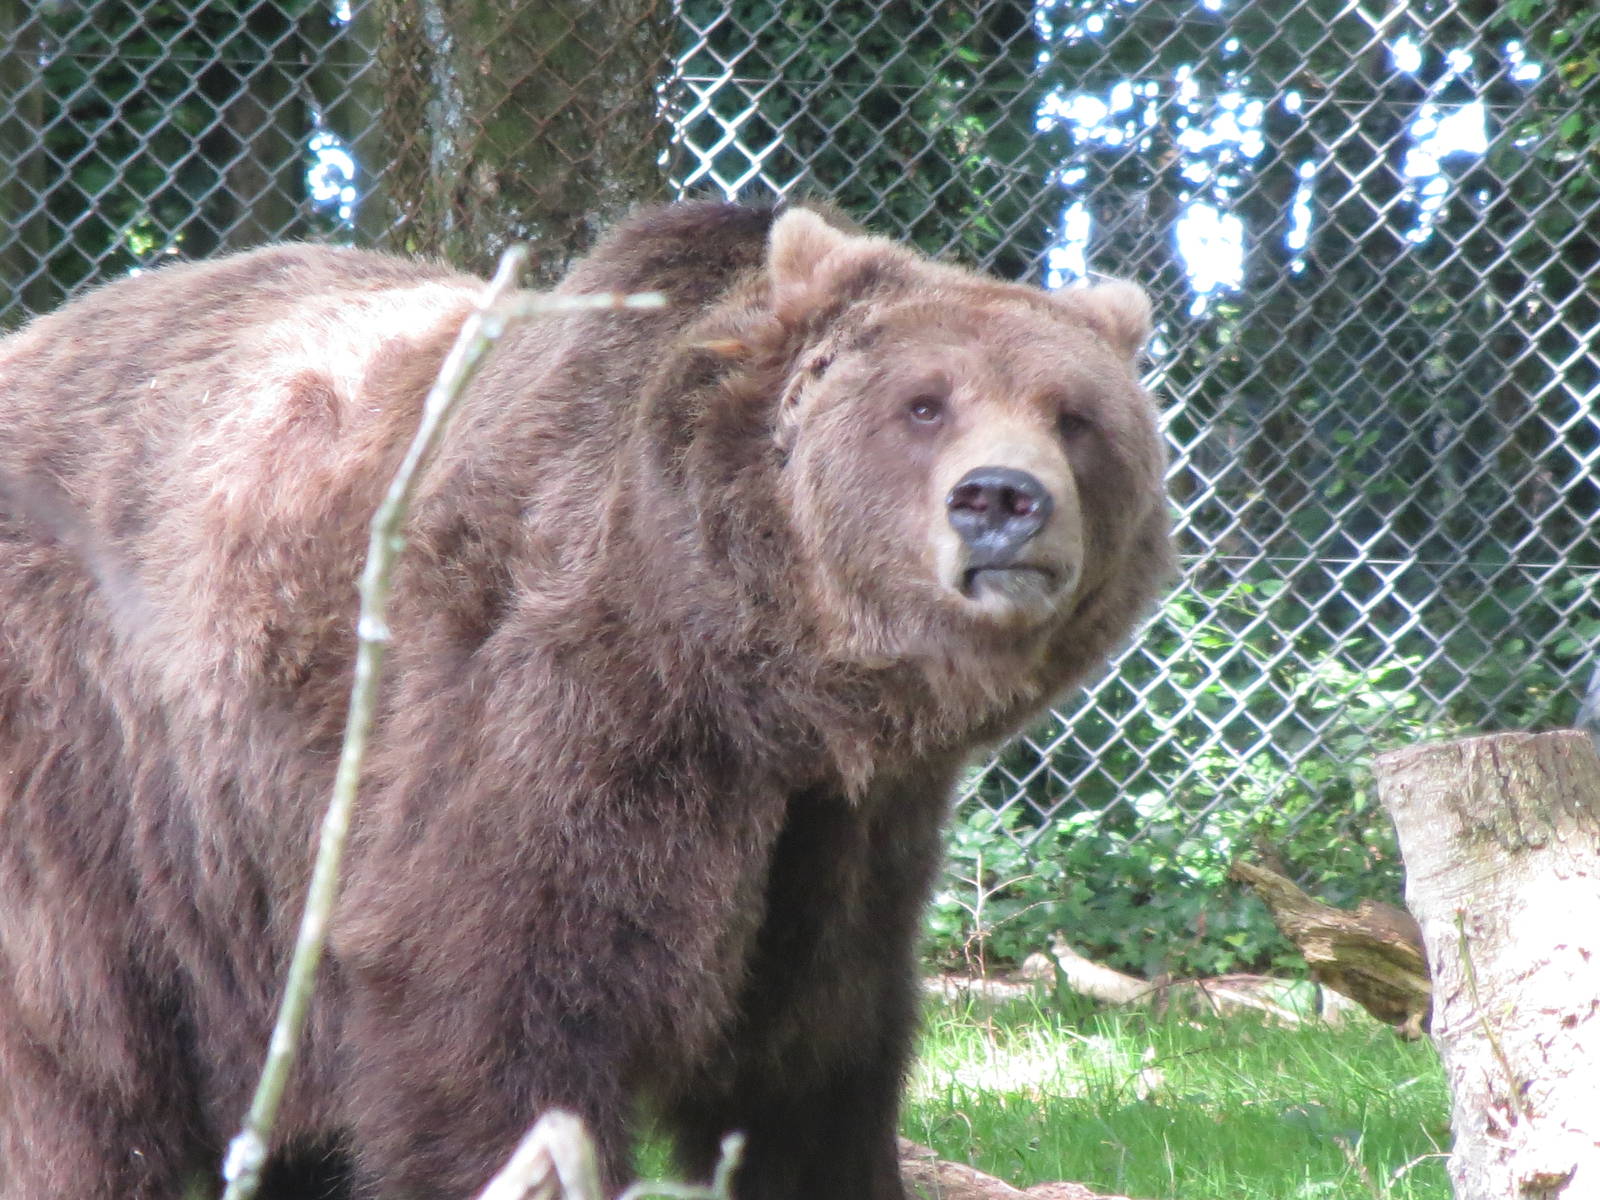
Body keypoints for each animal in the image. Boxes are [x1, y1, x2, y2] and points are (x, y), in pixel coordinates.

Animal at [0, 200, 1171, 1200]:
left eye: (1075, 418)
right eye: (923, 403)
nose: (1001, 499)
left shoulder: (847, 832)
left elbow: (818, 1061)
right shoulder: (552, 708)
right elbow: (484, 1015)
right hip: (93, 766)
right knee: (79, 1056)